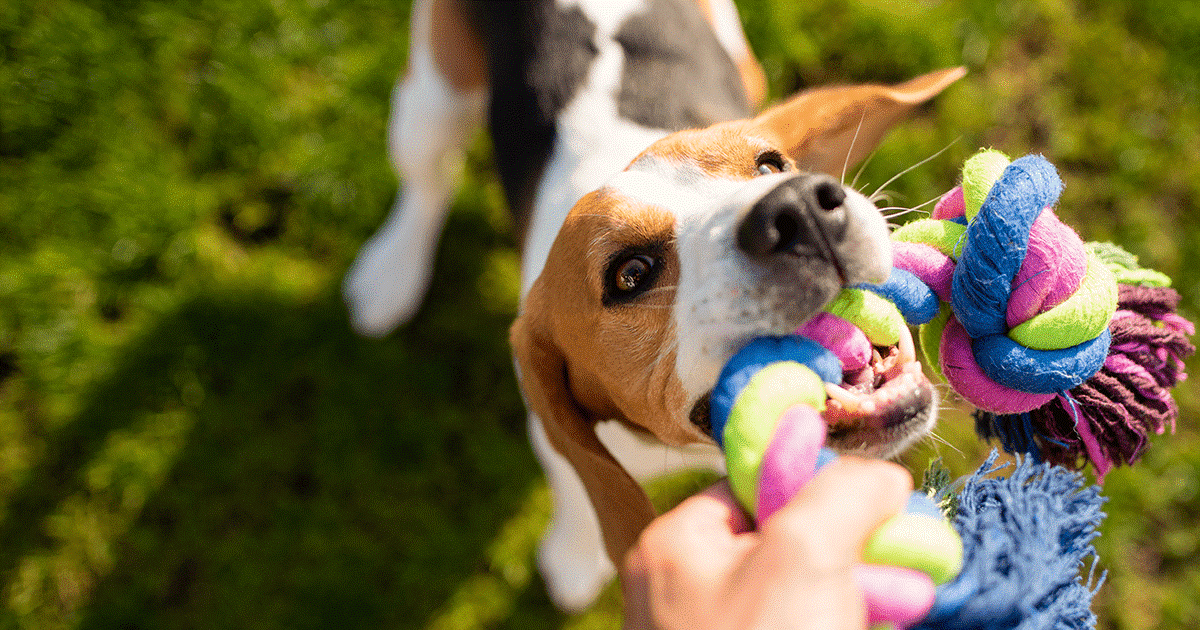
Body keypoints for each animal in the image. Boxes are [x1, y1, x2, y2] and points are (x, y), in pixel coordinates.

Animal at [343, 0, 960, 609]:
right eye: (630, 274)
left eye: (769, 165)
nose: (800, 208)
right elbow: (576, 487)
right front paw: (575, 556)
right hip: (433, 96)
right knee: (427, 180)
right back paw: (392, 271)